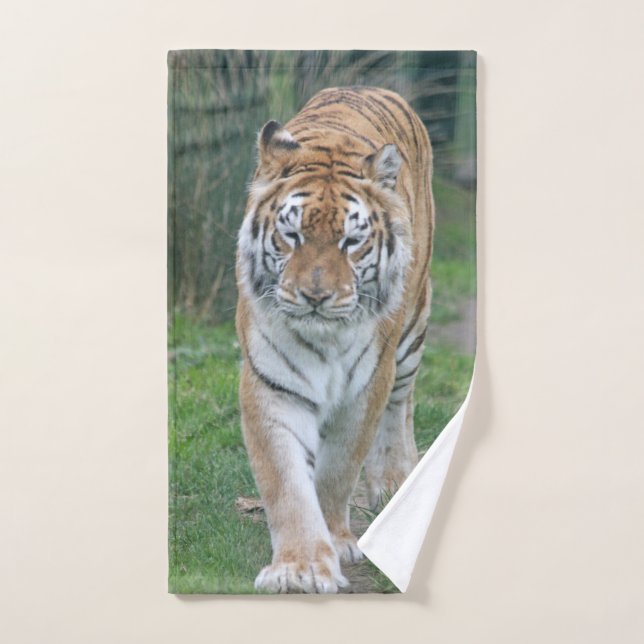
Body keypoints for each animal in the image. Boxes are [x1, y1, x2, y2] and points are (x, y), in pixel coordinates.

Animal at [235, 86, 434, 593]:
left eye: (351, 241)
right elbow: (286, 481)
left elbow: (338, 469)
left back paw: (396, 481)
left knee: (402, 402)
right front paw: (299, 566)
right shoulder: (270, 383)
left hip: (411, 329)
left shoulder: (367, 384)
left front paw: (336, 543)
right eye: (292, 235)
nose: (316, 296)